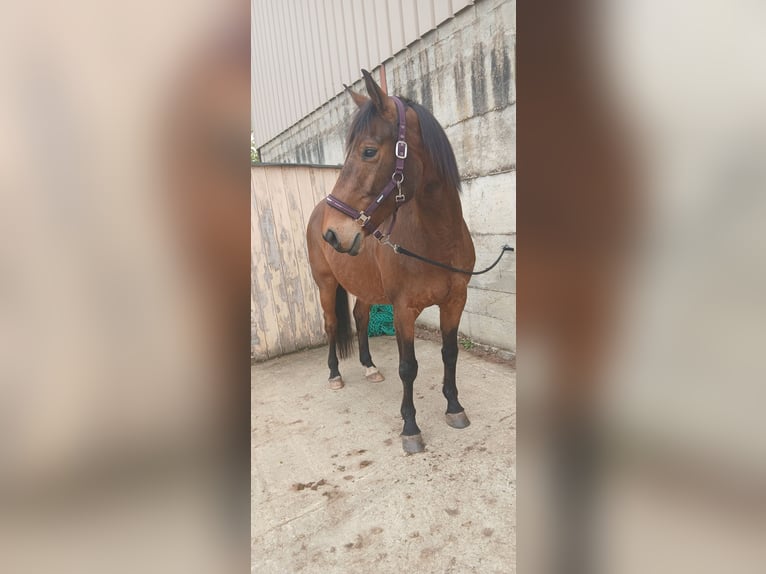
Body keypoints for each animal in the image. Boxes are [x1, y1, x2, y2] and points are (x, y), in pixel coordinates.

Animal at [306, 69, 476, 454]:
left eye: (369, 151)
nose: (333, 234)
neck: (436, 240)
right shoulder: (403, 310)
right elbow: (408, 367)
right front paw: (410, 428)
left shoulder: (455, 301)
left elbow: (450, 353)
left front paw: (454, 407)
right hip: (326, 285)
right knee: (331, 324)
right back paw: (335, 375)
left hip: (364, 287)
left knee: (358, 316)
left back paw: (369, 367)